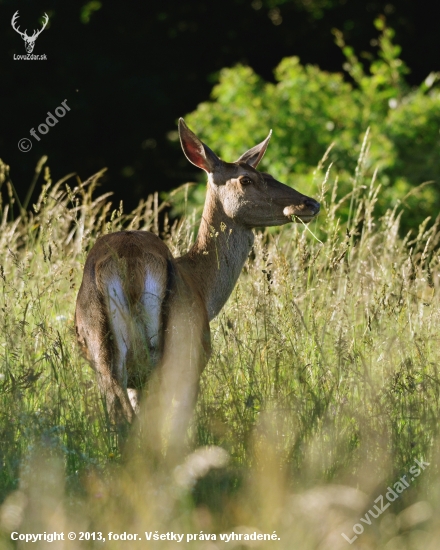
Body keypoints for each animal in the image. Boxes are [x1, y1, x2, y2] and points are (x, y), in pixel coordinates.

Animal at [75, 121, 320, 452]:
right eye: (246, 179)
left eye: (268, 175)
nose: (311, 203)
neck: (204, 289)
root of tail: (130, 262)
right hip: (179, 345)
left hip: (100, 344)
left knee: (119, 410)